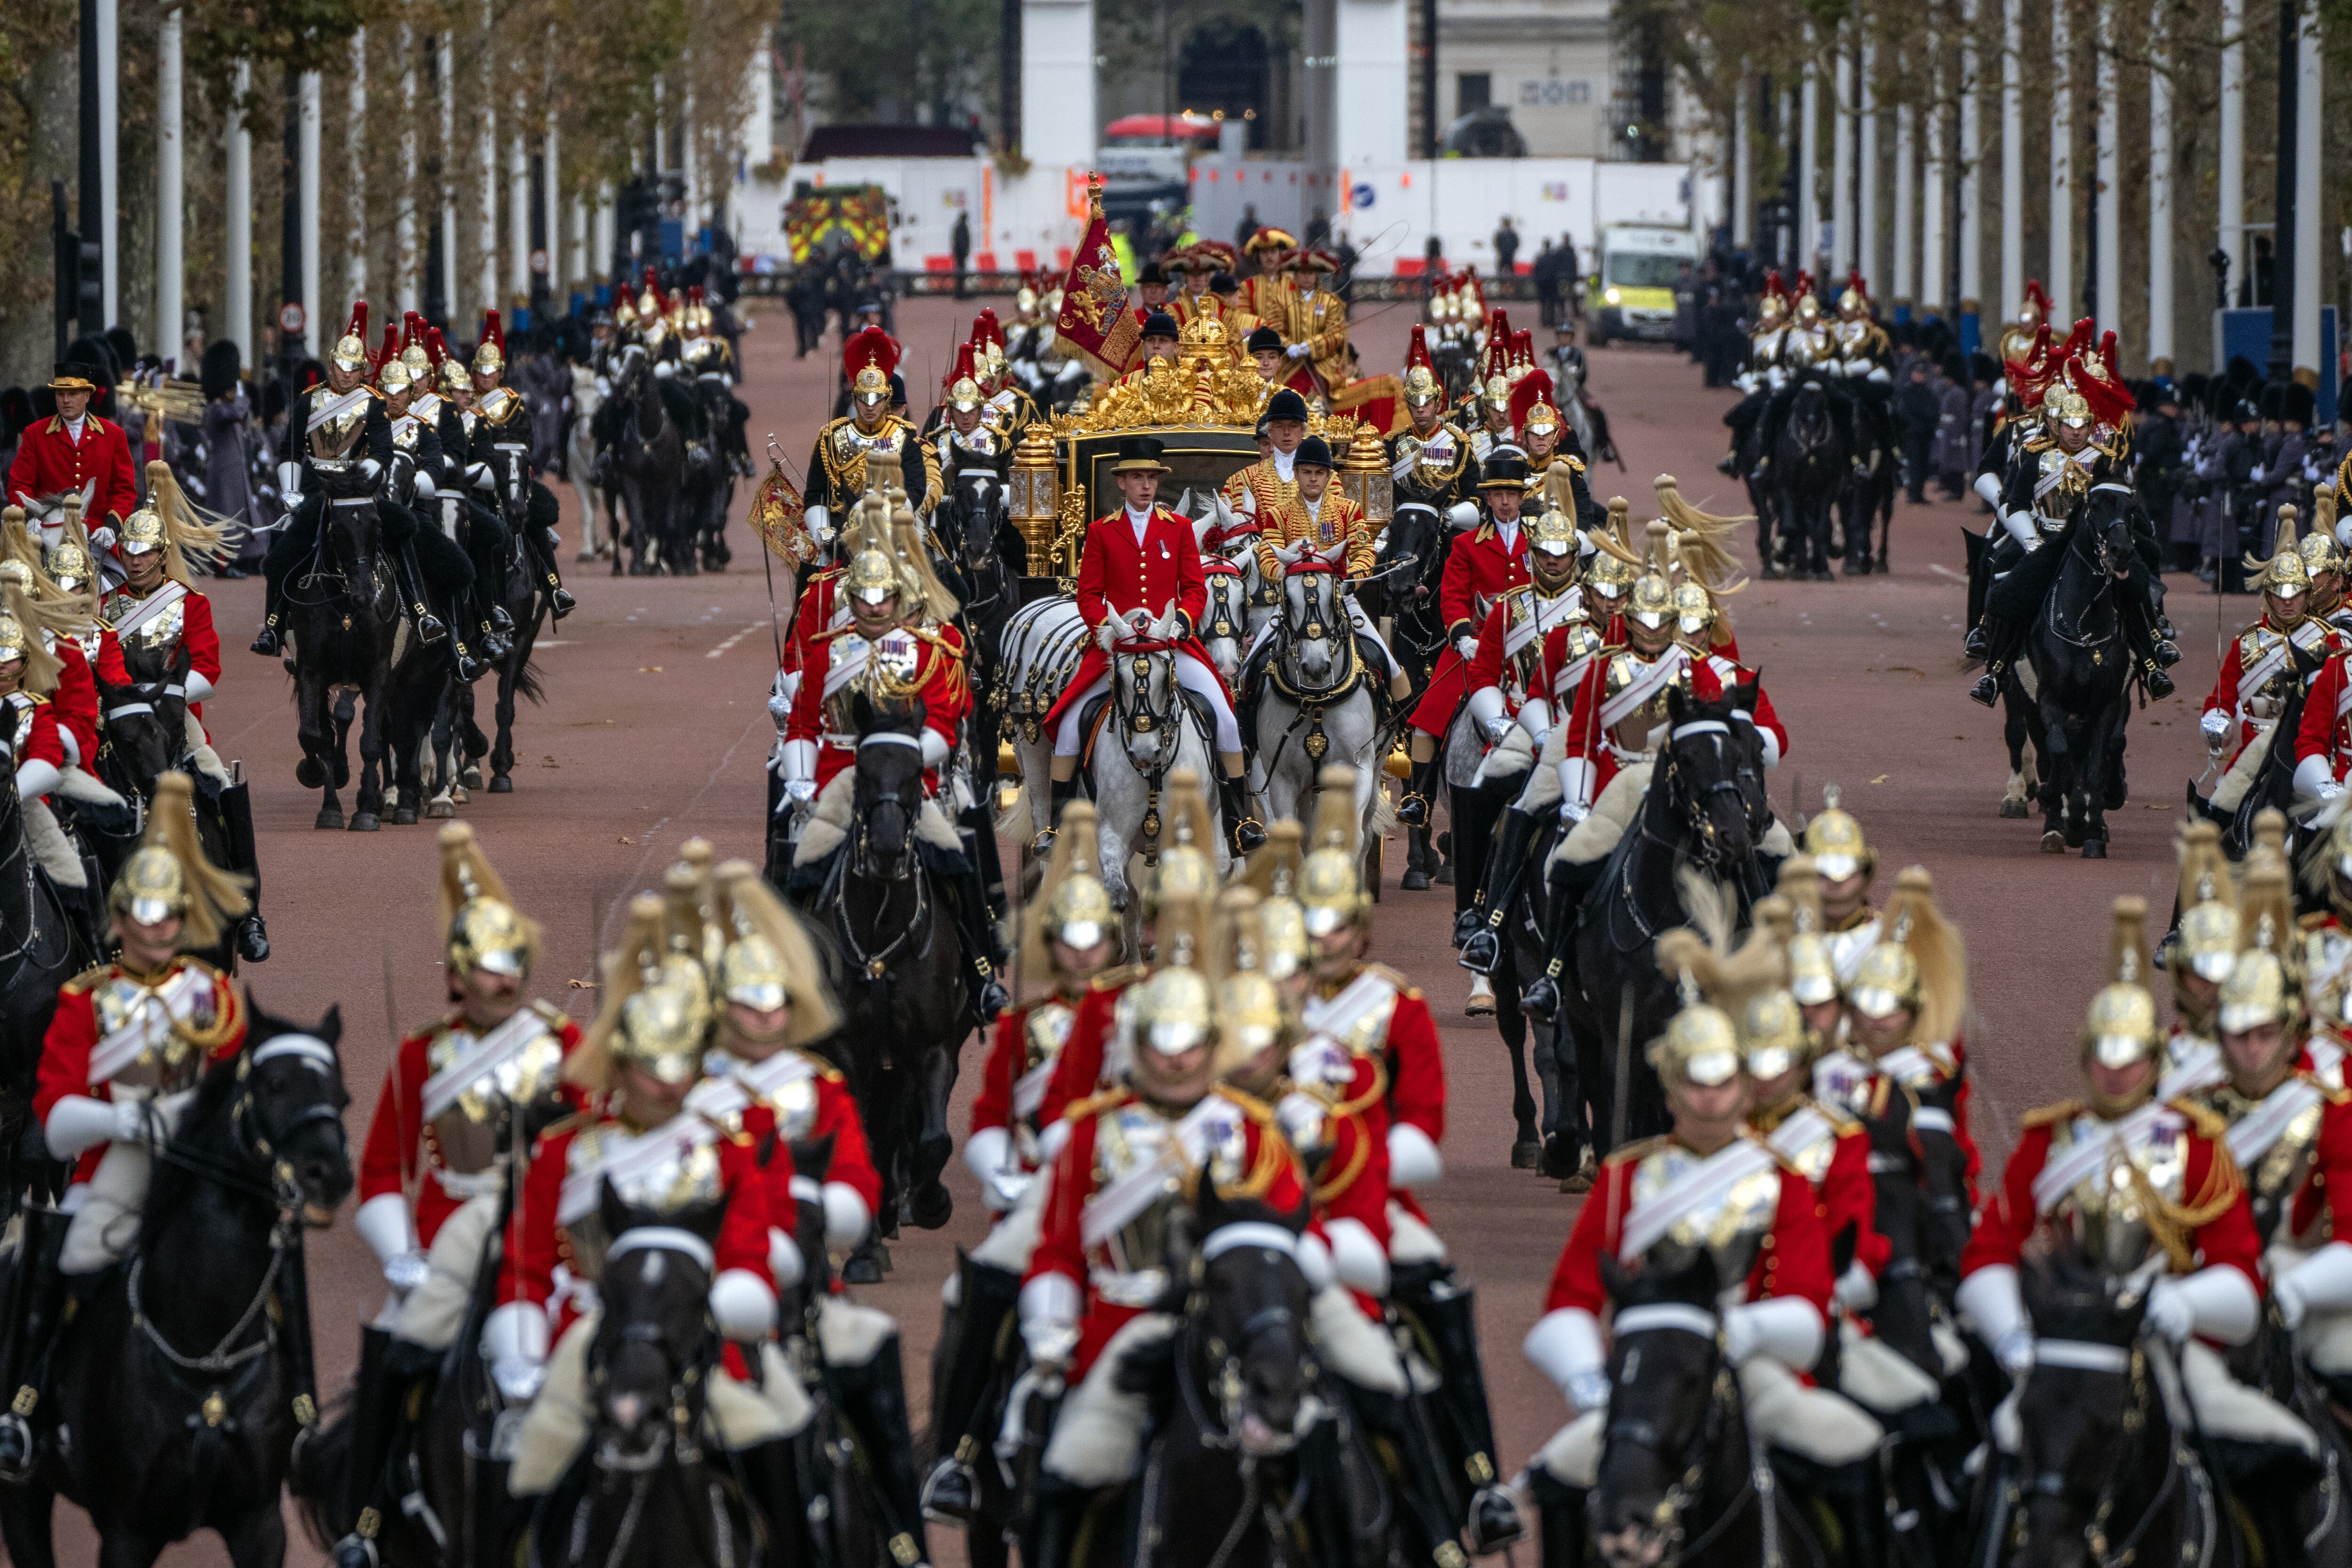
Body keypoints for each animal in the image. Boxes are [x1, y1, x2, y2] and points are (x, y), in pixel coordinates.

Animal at [0, 1006, 353, 1568]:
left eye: (342, 1097)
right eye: (274, 1083)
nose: (331, 1175)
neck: (207, 1358)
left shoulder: (260, 1524)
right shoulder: (127, 1532)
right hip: (23, 1493)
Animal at [1562, 681, 1769, 1152]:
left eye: (1743, 753)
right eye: (1686, 758)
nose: (1735, 835)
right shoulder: (1621, 1041)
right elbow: (1618, 1127)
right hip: (1582, 1029)